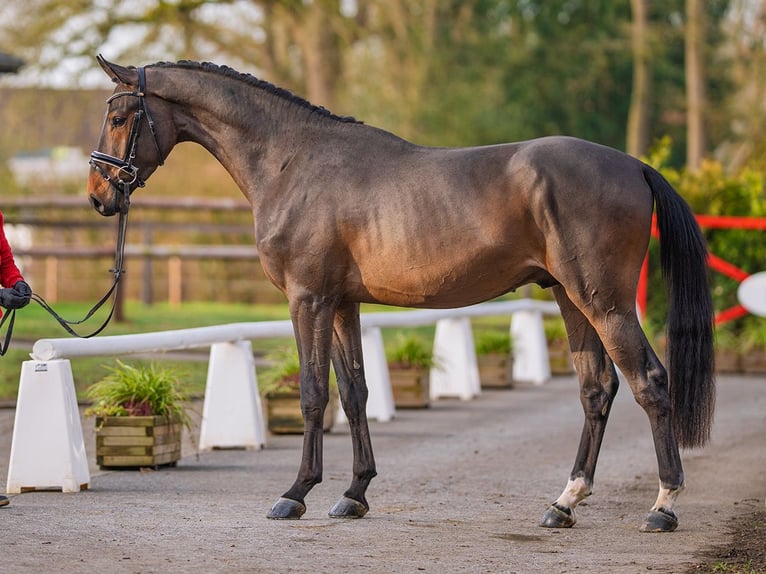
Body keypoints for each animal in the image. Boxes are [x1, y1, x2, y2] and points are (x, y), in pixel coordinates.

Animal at [86, 55, 715, 533]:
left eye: (118, 115)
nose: (98, 195)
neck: (292, 162)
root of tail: (633, 165)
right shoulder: (342, 303)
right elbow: (354, 392)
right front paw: (354, 494)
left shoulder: (307, 299)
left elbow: (314, 393)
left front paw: (295, 493)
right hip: (569, 297)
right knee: (596, 389)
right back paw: (563, 504)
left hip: (603, 301)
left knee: (649, 382)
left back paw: (663, 506)